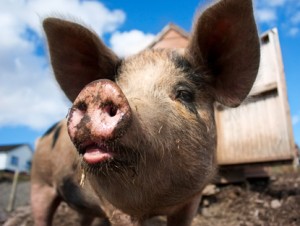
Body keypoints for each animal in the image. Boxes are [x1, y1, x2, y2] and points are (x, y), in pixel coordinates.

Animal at [31, 0, 260, 225]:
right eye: (120, 85)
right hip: (39, 184)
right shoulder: (116, 208)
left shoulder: (192, 201)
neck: (158, 205)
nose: (97, 89)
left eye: (184, 93)